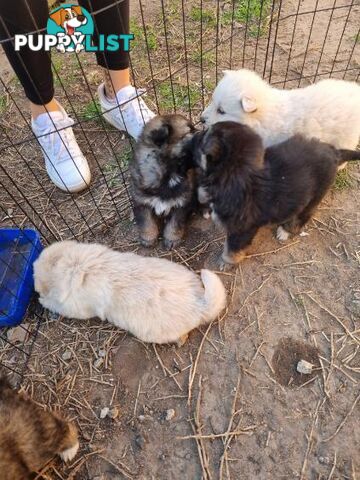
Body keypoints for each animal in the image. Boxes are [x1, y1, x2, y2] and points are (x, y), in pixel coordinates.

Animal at [131, 114, 197, 249]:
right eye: (190, 132)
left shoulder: (182, 203)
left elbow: (175, 223)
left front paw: (172, 239)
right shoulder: (141, 202)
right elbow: (146, 221)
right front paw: (148, 238)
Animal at [194, 121, 360, 266]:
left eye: (204, 135)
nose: (194, 135)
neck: (236, 172)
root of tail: (335, 152)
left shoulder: (241, 229)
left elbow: (231, 249)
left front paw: (226, 262)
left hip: (315, 195)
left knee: (302, 216)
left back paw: (285, 231)